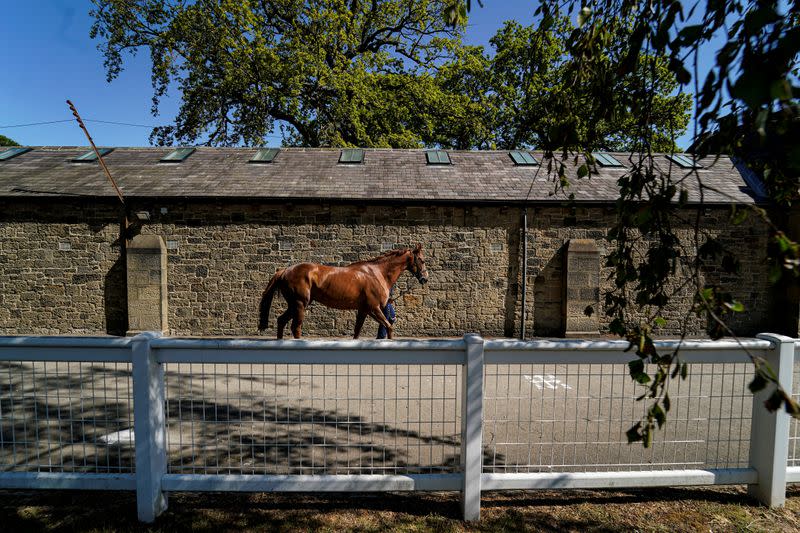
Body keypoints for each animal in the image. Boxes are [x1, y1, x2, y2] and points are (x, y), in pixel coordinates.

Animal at [260, 244, 428, 338]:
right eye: (422, 260)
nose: (425, 278)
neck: (376, 273)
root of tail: (285, 270)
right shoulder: (374, 308)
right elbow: (389, 327)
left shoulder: (363, 310)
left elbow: (357, 332)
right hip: (300, 304)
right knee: (296, 328)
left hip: (293, 306)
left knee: (281, 321)